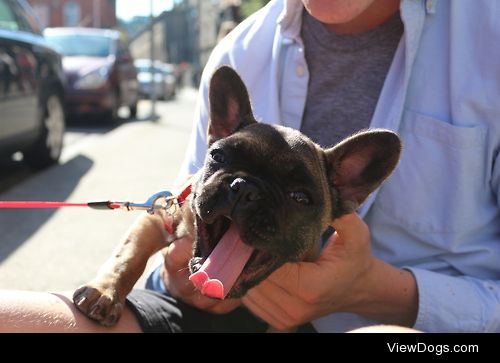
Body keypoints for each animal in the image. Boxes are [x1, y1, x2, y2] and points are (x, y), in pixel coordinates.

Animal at [72, 65, 402, 328]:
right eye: (218, 156)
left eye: (300, 197)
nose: (245, 187)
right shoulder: (158, 220)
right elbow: (128, 256)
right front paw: (105, 293)